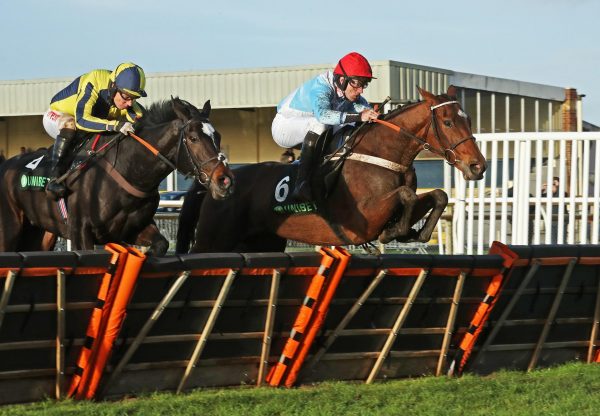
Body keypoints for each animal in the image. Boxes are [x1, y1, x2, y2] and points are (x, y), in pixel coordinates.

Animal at [0, 98, 234, 254]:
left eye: (218, 136)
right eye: (193, 138)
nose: (224, 180)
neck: (127, 169)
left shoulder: (133, 229)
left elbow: (161, 244)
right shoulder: (80, 232)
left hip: (39, 234)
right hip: (10, 231)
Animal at [176, 86, 486, 252]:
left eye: (469, 119)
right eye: (447, 122)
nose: (477, 166)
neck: (381, 154)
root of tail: (214, 184)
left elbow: (438, 195)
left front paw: (413, 232)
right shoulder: (364, 219)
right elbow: (405, 195)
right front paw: (394, 231)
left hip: (262, 242)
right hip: (213, 239)